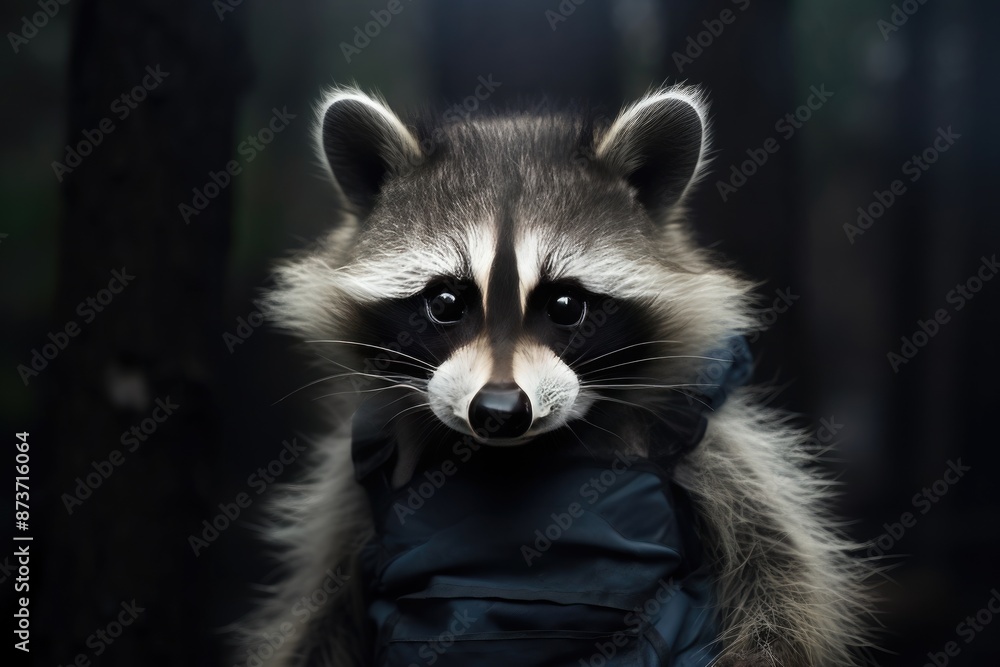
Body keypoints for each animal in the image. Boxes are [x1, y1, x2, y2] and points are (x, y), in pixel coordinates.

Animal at [242, 85, 872, 667]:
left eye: (566, 305)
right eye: (446, 302)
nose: (499, 412)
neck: (517, 461)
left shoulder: (709, 453)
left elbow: (778, 576)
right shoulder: (350, 497)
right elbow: (317, 614)